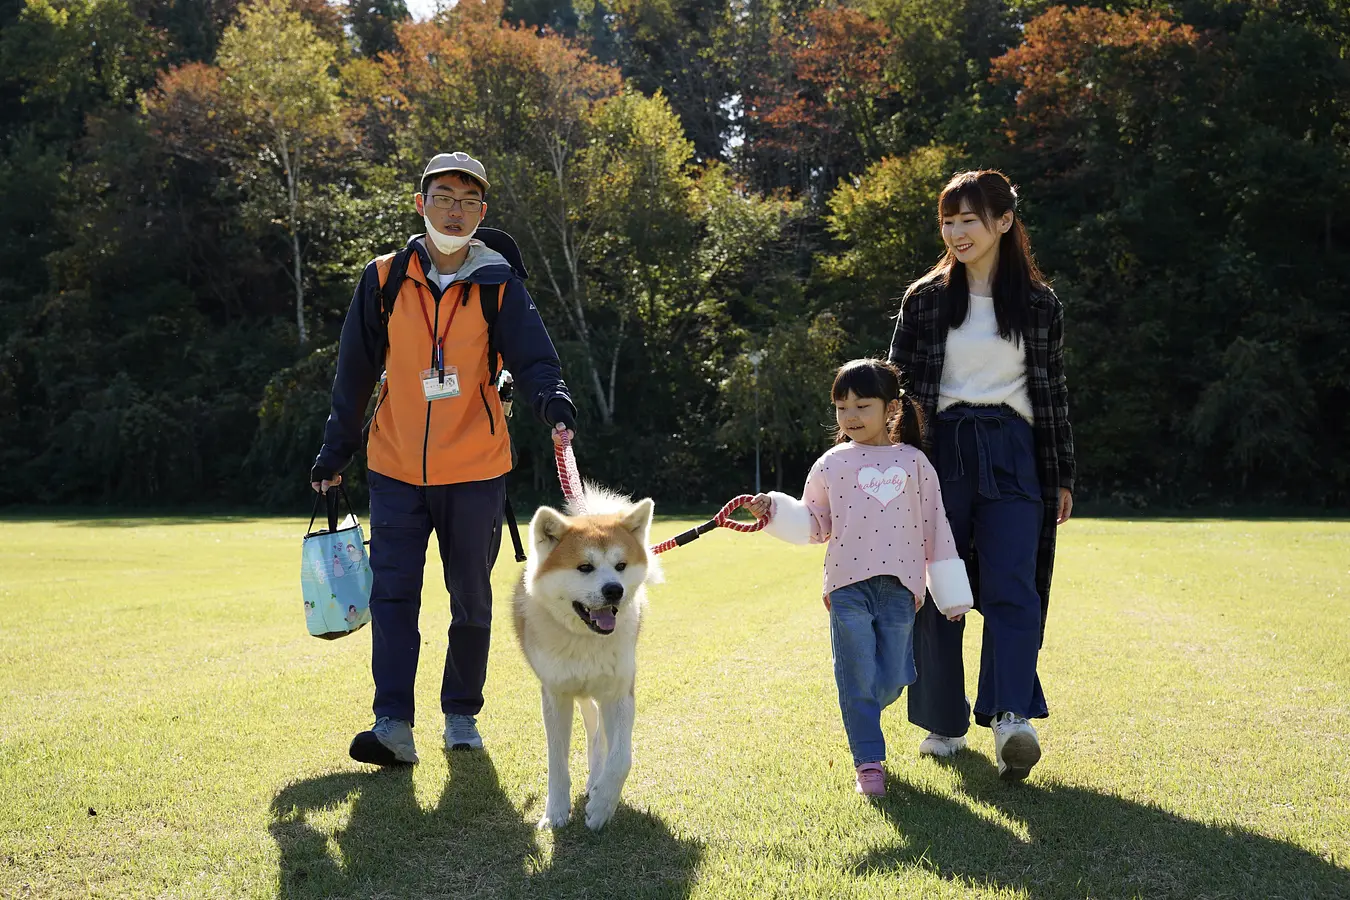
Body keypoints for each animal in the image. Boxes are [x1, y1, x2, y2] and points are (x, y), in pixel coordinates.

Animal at [510, 488, 658, 836]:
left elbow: (621, 759)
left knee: (600, 739)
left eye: (620, 565)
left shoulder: (619, 694)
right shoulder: (555, 696)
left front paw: (602, 808)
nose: (614, 590)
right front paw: (555, 813)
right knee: (593, 732)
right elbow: (557, 762)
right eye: (584, 567)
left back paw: (596, 783)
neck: (586, 639)